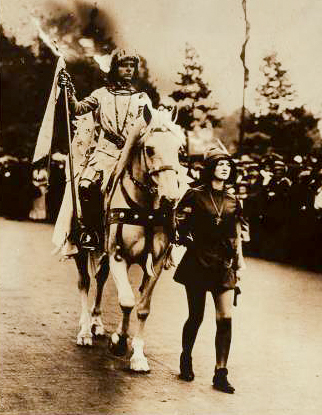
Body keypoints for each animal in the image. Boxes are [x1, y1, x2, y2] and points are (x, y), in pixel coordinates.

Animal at [73, 109, 184, 372]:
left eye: (179, 149)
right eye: (150, 149)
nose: (170, 199)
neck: (145, 209)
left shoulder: (155, 262)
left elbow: (142, 307)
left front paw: (138, 356)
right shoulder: (117, 256)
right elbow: (126, 301)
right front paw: (119, 342)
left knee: (101, 279)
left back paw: (97, 323)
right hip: (82, 248)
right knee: (85, 283)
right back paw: (85, 331)